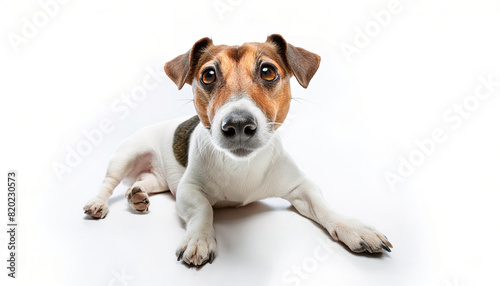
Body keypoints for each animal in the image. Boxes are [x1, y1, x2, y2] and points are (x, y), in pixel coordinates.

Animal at [84, 35, 392, 266]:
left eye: (268, 71)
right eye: (208, 75)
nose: (239, 123)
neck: (241, 166)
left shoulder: (301, 187)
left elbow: (323, 206)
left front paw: (354, 228)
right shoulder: (188, 190)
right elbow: (203, 209)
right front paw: (199, 239)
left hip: (157, 179)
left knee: (140, 181)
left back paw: (137, 195)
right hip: (126, 155)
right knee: (108, 183)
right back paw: (98, 203)